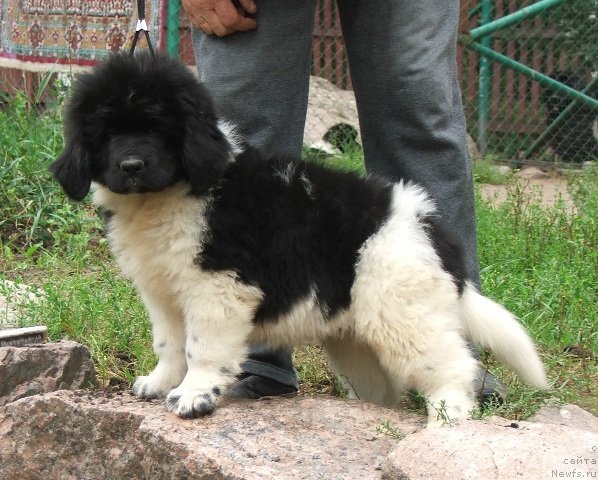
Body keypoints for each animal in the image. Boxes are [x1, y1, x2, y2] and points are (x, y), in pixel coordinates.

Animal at [51, 52, 548, 424]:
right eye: (107, 133)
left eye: (156, 128)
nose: (131, 166)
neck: (171, 193)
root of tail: (432, 229)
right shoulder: (164, 292)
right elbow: (170, 343)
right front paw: (160, 383)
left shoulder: (218, 285)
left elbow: (203, 346)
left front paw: (195, 394)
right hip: (356, 336)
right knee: (383, 387)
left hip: (402, 308)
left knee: (452, 365)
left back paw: (447, 417)